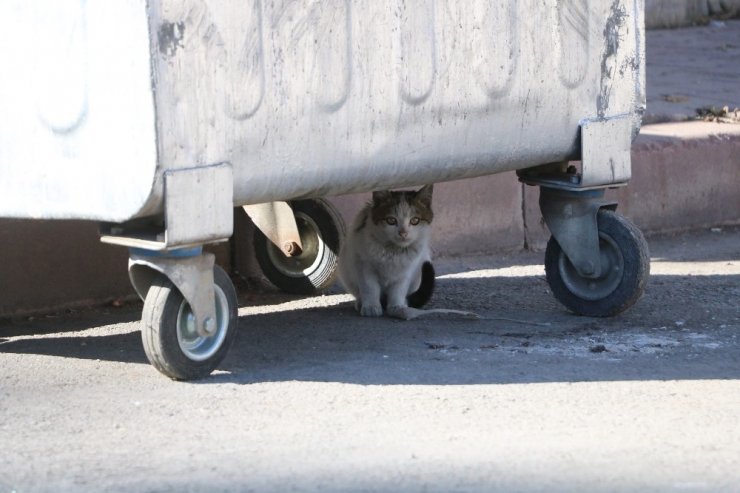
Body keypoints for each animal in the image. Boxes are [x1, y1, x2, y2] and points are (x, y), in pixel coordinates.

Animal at [338, 184, 436, 320]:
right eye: (391, 220)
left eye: (415, 220)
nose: (403, 232)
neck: (393, 251)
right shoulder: (364, 266)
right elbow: (370, 288)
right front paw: (371, 307)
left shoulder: (406, 271)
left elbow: (398, 290)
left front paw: (397, 307)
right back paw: (360, 302)